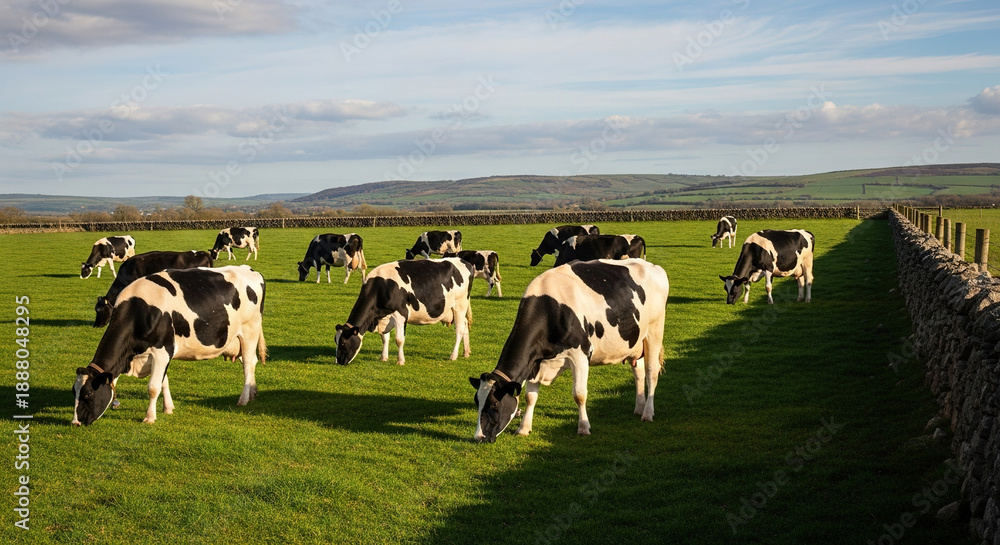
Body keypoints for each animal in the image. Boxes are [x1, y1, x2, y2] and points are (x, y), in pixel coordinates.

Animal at [72, 265, 266, 426]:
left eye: (88, 394)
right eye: (74, 392)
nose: (75, 422)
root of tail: (250, 270)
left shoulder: (162, 350)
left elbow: (153, 387)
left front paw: (150, 418)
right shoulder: (159, 354)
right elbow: (163, 382)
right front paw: (168, 408)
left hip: (250, 330)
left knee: (248, 364)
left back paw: (243, 400)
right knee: (252, 362)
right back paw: (253, 393)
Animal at [334, 258, 474, 366]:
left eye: (343, 342)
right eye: (336, 341)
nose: (339, 361)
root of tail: (465, 262)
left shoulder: (400, 314)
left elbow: (399, 340)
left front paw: (400, 361)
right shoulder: (385, 316)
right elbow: (384, 338)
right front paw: (383, 358)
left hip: (460, 306)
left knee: (459, 330)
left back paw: (453, 356)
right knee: (465, 325)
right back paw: (466, 352)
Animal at [470, 259, 668, 442]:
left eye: (494, 404)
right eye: (477, 401)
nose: (478, 436)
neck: (550, 309)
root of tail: (653, 266)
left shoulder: (580, 355)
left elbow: (579, 395)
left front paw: (583, 427)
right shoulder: (535, 362)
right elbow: (530, 396)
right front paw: (524, 428)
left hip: (654, 331)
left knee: (651, 372)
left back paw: (647, 413)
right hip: (636, 341)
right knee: (639, 372)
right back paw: (639, 408)